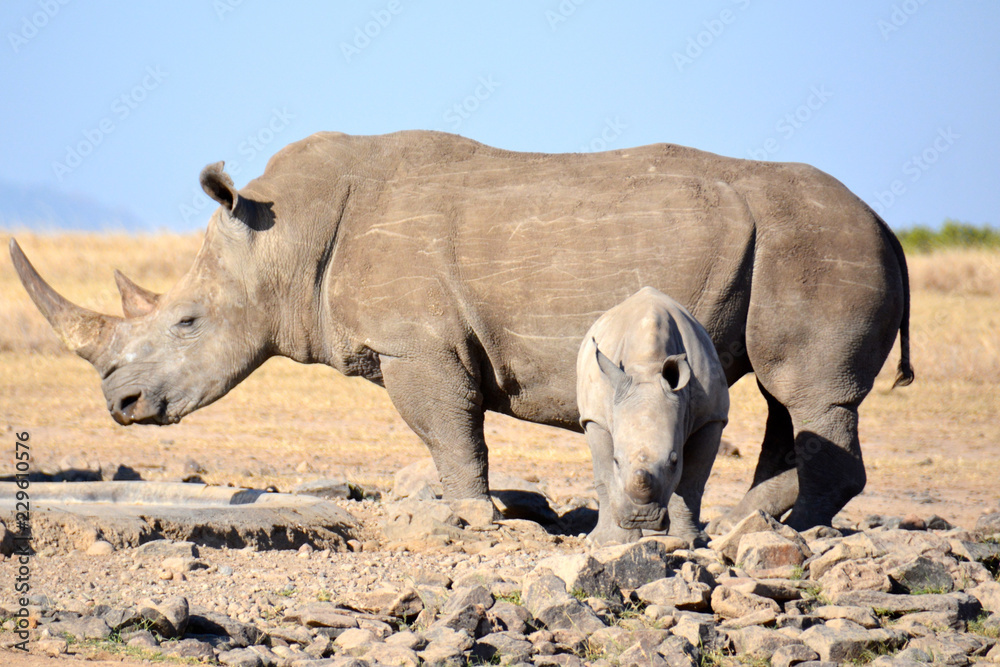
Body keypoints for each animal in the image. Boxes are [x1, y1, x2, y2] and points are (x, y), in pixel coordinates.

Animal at [578, 287, 729, 545]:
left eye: (674, 460)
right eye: (617, 460)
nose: (642, 518)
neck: (647, 367)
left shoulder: (711, 418)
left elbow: (693, 482)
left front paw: (691, 541)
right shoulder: (594, 418)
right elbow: (606, 475)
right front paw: (613, 542)